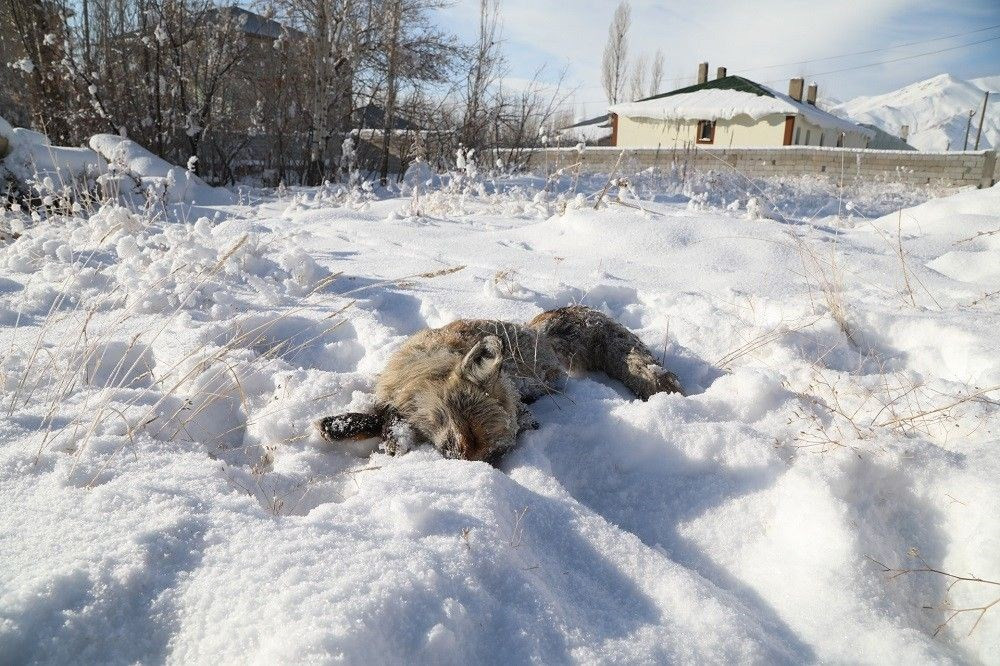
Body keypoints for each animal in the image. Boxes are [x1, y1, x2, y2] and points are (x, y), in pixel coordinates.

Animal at [316, 304, 684, 460]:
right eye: (467, 428)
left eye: (492, 455)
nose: (464, 462)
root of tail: (539, 333)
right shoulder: (392, 391)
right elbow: (380, 416)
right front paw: (343, 426)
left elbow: (385, 420)